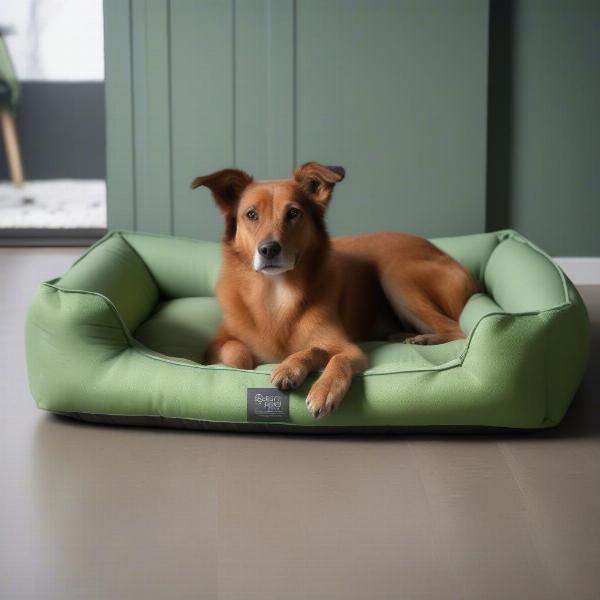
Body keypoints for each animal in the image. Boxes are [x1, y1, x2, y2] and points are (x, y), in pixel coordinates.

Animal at [192, 163, 478, 418]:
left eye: (293, 213)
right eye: (251, 214)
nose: (269, 249)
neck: (276, 293)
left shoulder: (351, 350)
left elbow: (330, 355)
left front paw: (316, 384)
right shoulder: (214, 346)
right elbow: (238, 357)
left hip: (395, 275)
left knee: (456, 329)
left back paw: (424, 338)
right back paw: (407, 335)